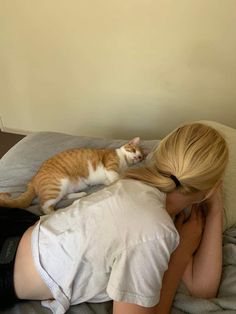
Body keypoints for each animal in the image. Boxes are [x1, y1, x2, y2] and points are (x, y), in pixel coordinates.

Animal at [0, 137, 146, 213]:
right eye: (133, 150)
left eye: (140, 157)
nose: (136, 158)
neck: (124, 163)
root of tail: (33, 179)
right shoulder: (110, 167)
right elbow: (117, 177)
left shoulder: (109, 177)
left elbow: (112, 180)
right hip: (57, 185)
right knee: (44, 206)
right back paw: (54, 213)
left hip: (69, 187)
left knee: (64, 197)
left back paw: (81, 195)